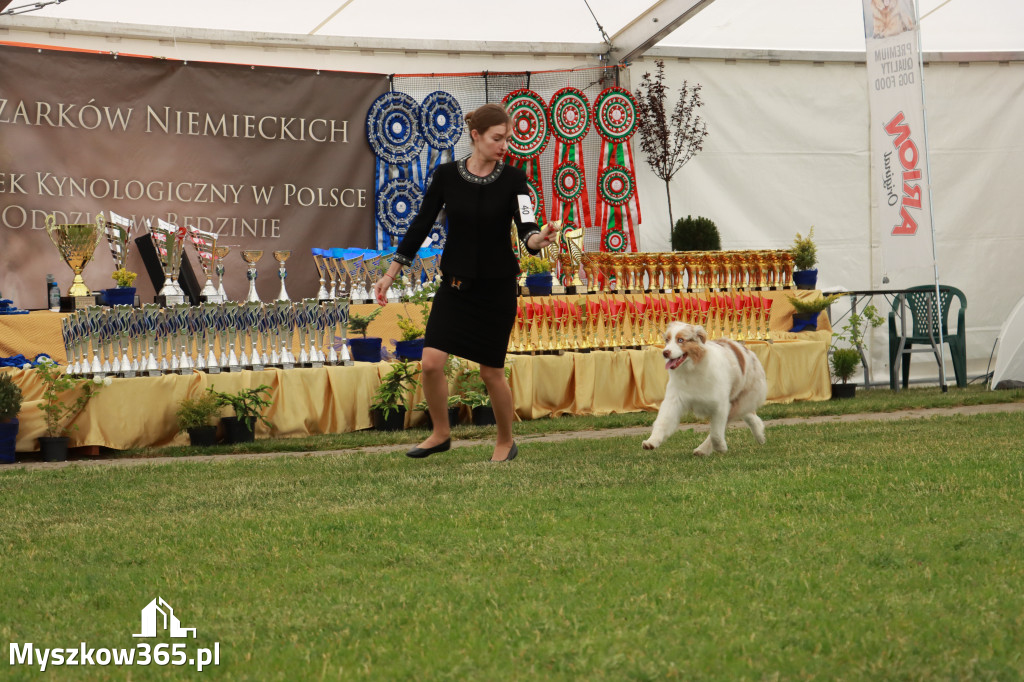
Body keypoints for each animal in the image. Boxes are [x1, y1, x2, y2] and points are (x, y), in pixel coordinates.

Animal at [638, 319, 770, 456]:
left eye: (680, 340)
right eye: (667, 340)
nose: (665, 353)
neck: (693, 369)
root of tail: (744, 349)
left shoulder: (720, 405)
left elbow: (716, 433)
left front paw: (720, 447)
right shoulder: (674, 400)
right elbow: (663, 421)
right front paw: (651, 442)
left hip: (742, 397)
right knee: (748, 413)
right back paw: (759, 434)